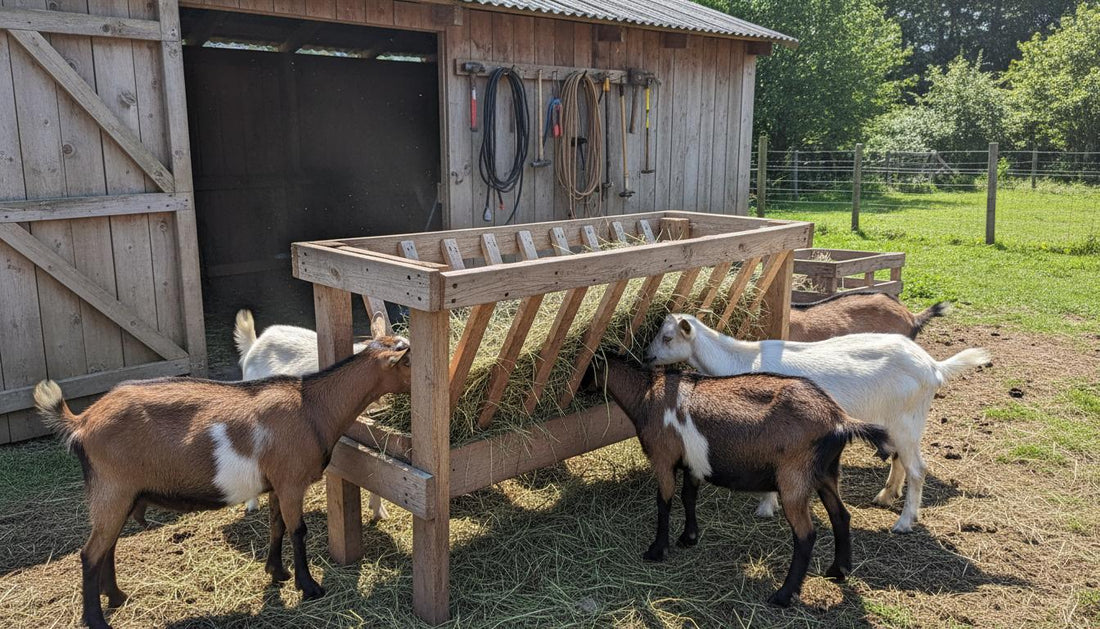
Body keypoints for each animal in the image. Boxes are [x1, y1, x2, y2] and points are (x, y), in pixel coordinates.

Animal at [589, 355, 894, 607]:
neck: (647, 395)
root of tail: (840, 421)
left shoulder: (663, 458)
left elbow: (663, 502)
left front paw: (656, 550)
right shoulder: (693, 462)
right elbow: (689, 496)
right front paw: (689, 538)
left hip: (794, 478)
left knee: (806, 534)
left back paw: (783, 595)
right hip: (826, 473)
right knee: (841, 516)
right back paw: (837, 572)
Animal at [644, 314, 989, 533]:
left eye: (667, 337)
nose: (646, 356)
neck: (740, 359)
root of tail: (933, 366)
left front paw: (765, 507)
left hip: (908, 421)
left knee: (918, 469)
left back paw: (904, 522)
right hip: (895, 423)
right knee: (901, 461)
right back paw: (885, 496)